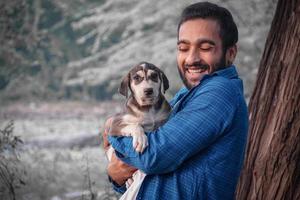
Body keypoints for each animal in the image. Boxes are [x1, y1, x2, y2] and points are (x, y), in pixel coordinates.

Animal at [104, 61, 171, 200]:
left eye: (154, 76)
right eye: (136, 78)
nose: (148, 90)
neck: (149, 109)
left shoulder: (164, 118)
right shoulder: (115, 124)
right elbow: (135, 125)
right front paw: (140, 140)